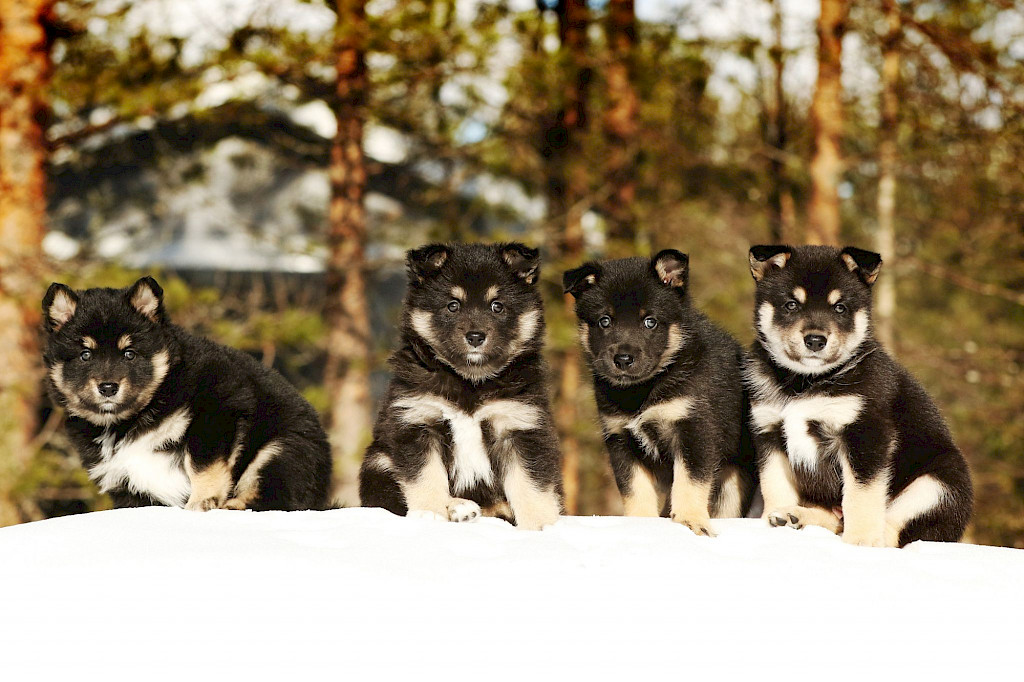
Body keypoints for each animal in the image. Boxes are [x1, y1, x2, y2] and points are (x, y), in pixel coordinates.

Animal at [360, 241, 565, 528]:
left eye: (497, 306)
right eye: (453, 305)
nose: (475, 337)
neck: (470, 382)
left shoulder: (520, 426)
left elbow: (530, 484)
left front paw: (541, 525)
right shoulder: (417, 421)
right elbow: (425, 475)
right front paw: (429, 512)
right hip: (378, 460)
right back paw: (459, 508)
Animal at [745, 241, 974, 544]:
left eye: (840, 308)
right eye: (791, 305)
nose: (815, 340)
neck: (805, 382)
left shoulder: (865, 433)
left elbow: (860, 495)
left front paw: (860, 541)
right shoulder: (769, 430)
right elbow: (775, 484)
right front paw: (774, 516)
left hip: (938, 483)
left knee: (892, 530)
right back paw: (793, 515)